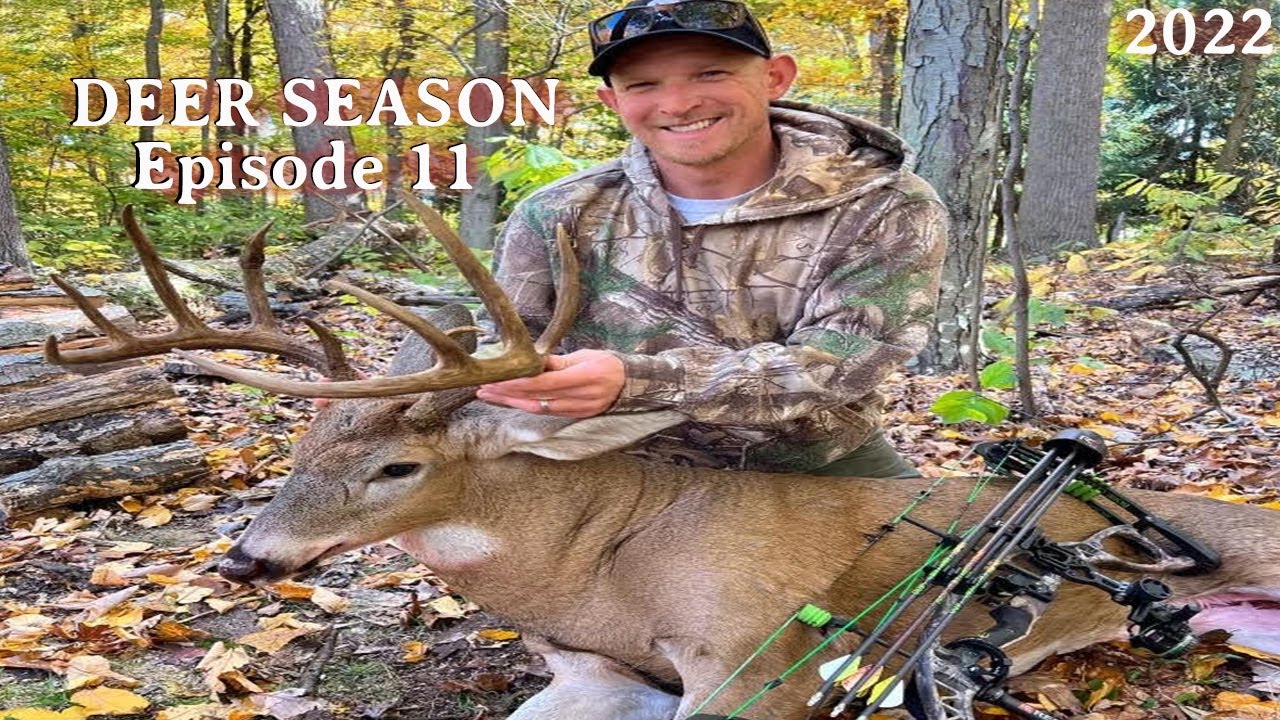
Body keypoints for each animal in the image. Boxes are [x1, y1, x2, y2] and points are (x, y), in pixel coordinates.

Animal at [47, 199, 1280, 720]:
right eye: (300, 440)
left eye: (398, 470)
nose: (244, 560)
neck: (598, 572)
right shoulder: (580, 663)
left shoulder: (751, 655)